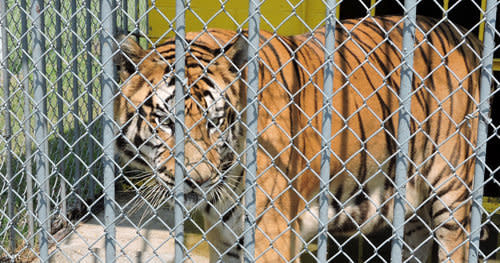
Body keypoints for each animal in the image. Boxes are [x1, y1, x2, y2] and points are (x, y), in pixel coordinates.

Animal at [112, 15, 480, 262]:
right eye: (166, 122)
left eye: (215, 122)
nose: (198, 181)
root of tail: (461, 33)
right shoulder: (224, 237)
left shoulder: (271, 234)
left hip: (451, 191)